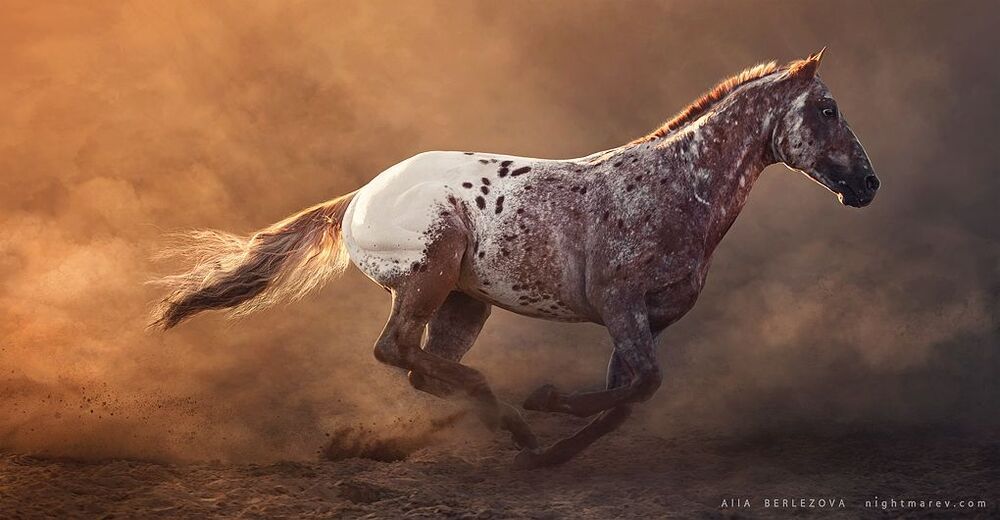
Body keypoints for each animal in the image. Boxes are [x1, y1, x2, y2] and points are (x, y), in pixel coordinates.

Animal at [151, 49, 879, 468]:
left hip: (464, 302)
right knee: (397, 350)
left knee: (421, 365)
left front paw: (554, 452)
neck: (677, 187)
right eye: (827, 108)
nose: (868, 185)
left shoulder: (649, 321)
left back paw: (492, 430)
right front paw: (546, 404)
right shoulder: (621, 304)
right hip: (432, 271)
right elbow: (641, 385)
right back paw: (506, 416)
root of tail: (358, 196)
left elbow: (628, 396)